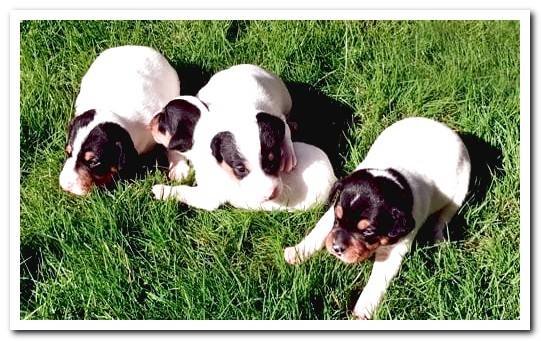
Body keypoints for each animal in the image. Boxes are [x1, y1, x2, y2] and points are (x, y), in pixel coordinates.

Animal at [282, 117, 468, 318]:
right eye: (338, 219)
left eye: (369, 231)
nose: (336, 248)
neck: (395, 179)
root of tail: (445, 128)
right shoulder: (332, 212)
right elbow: (318, 232)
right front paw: (298, 252)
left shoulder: (394, 249)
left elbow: (377, 282)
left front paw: (362, 310)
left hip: (460, 192)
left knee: (444, 217)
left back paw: (439, 239)